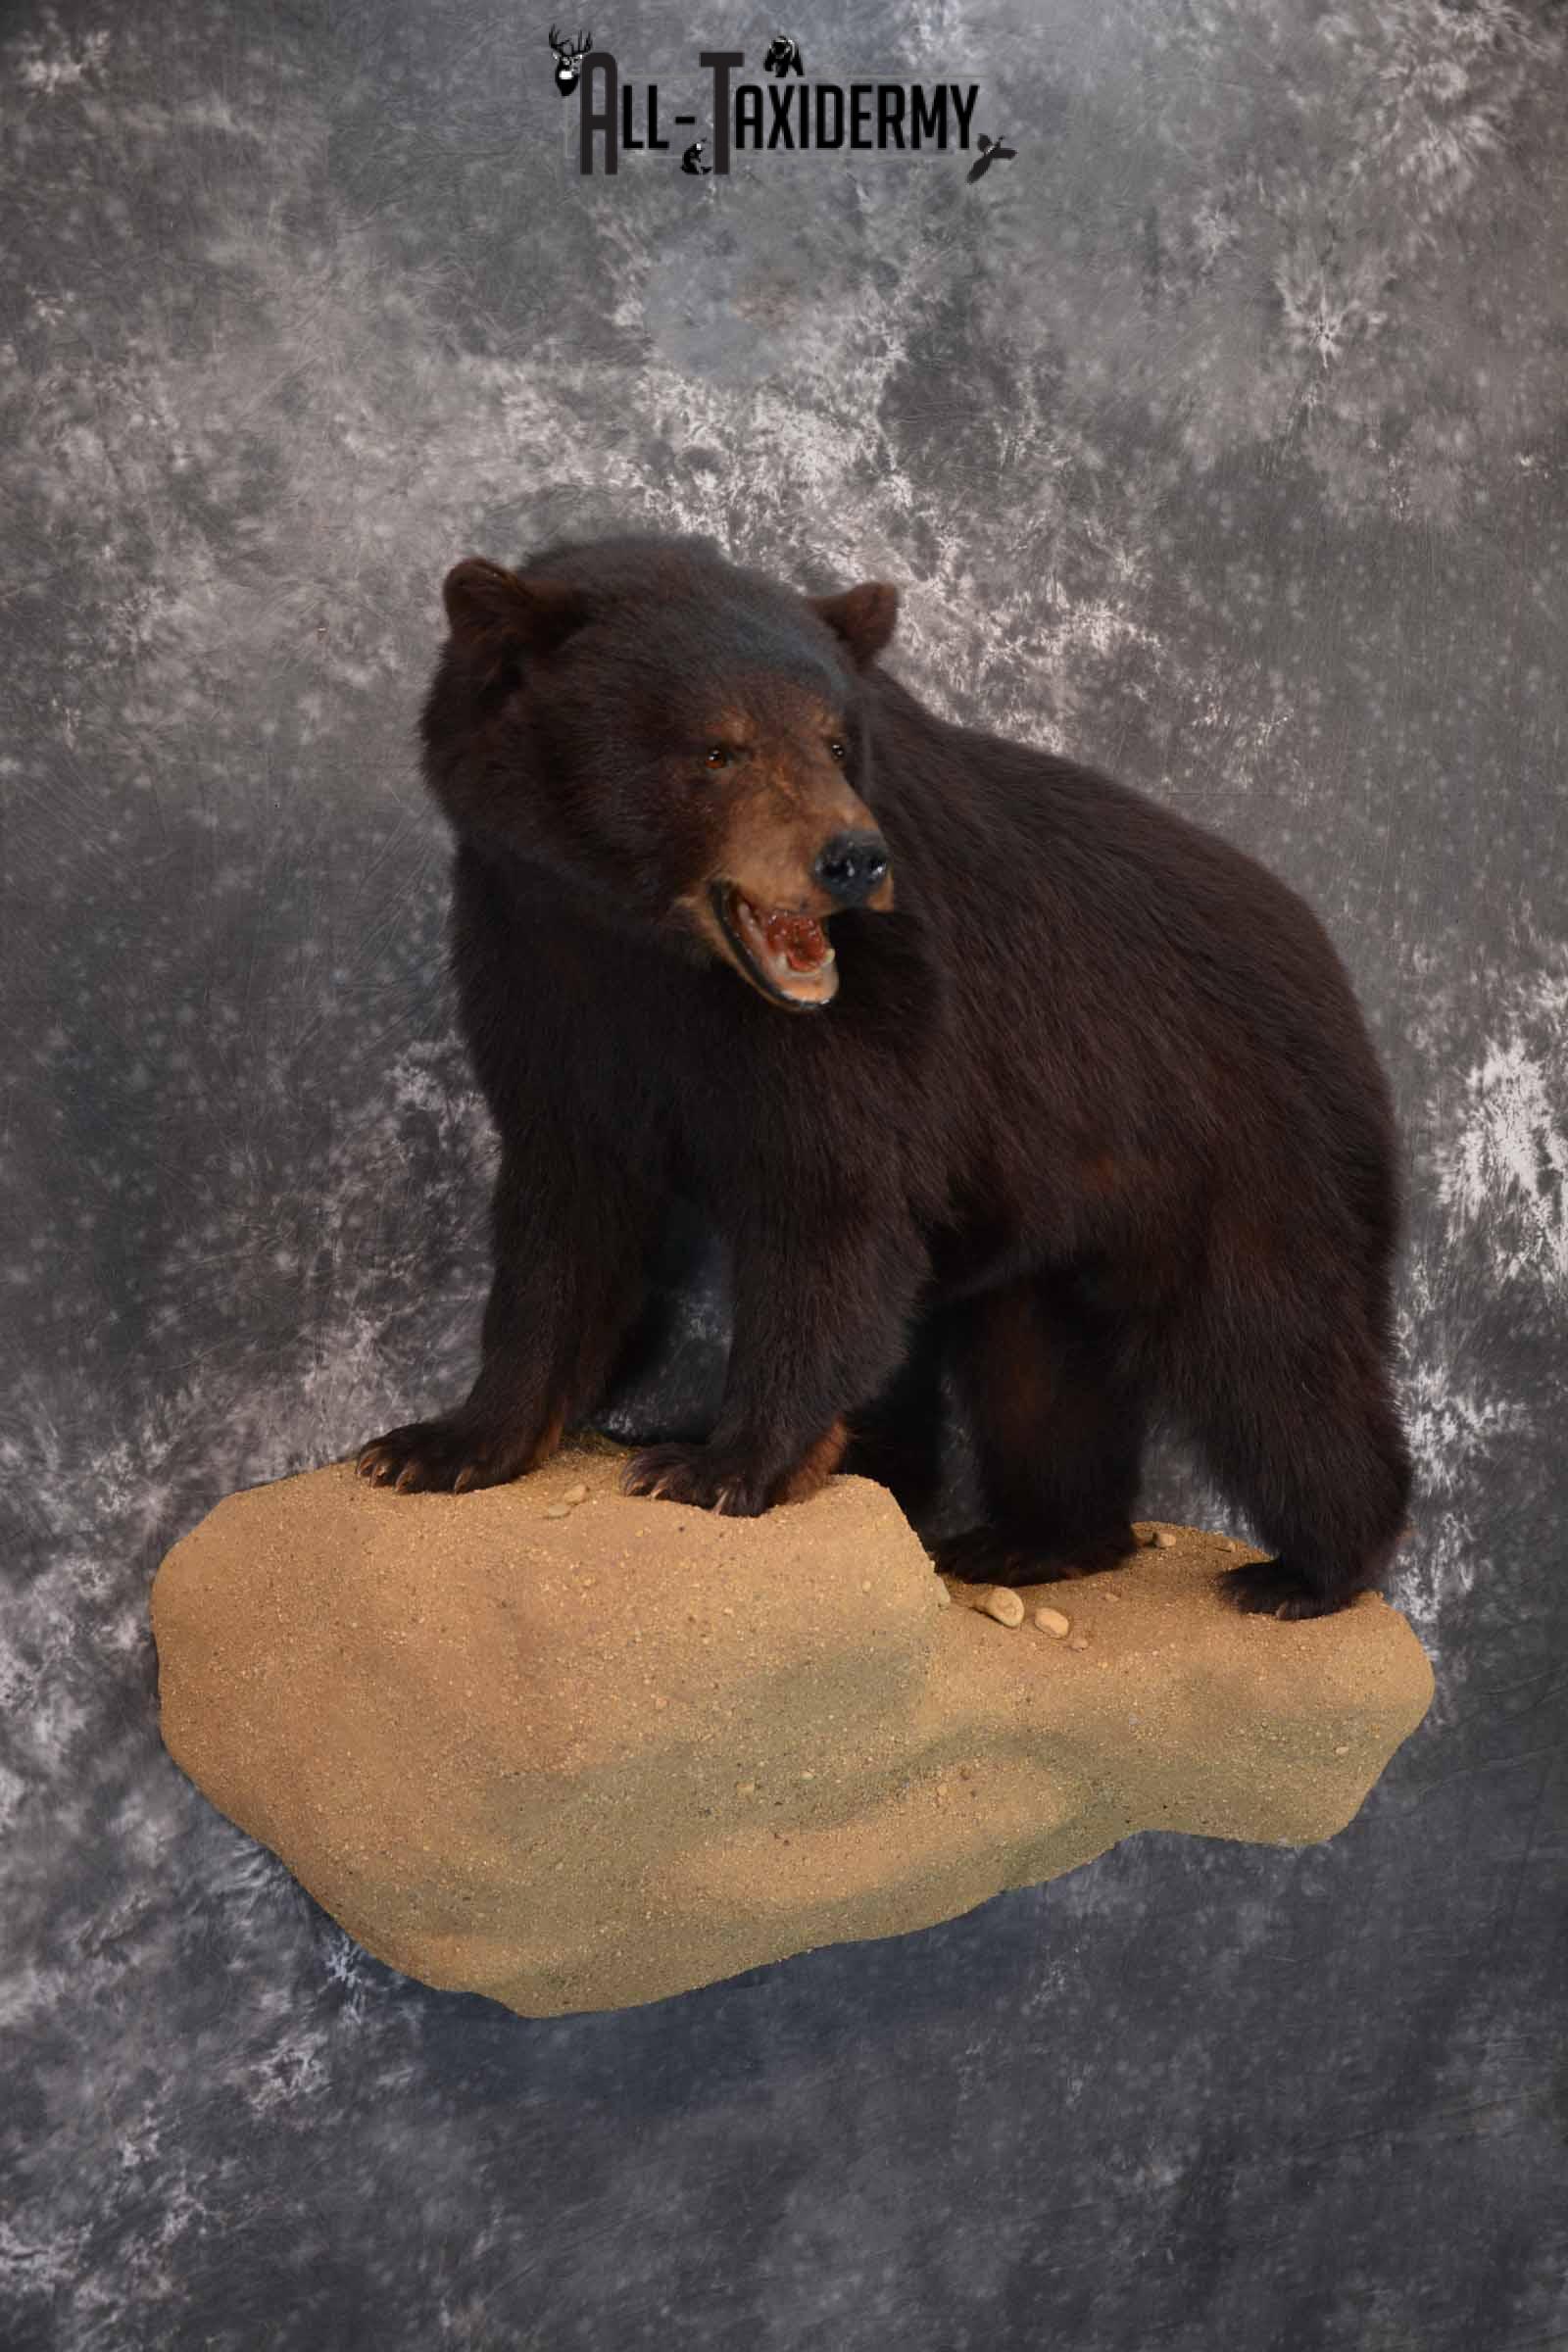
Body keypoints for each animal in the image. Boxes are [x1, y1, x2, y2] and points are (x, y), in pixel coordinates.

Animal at [355, 532, 1414, 1620]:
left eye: (833, 741)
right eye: (719, 749)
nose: (854, 860)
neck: (651, 948)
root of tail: (1333, 972)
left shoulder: (877, 1018)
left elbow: (834, 1215)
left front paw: (718, 1463)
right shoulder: (533, 961)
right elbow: (561, 1217)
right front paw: (441, 1445)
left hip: (1244, 1147)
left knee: (1275, 1349)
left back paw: (1308, 1571)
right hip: (1056, 1223)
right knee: (1042, 1374)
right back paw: (1033, 1540)